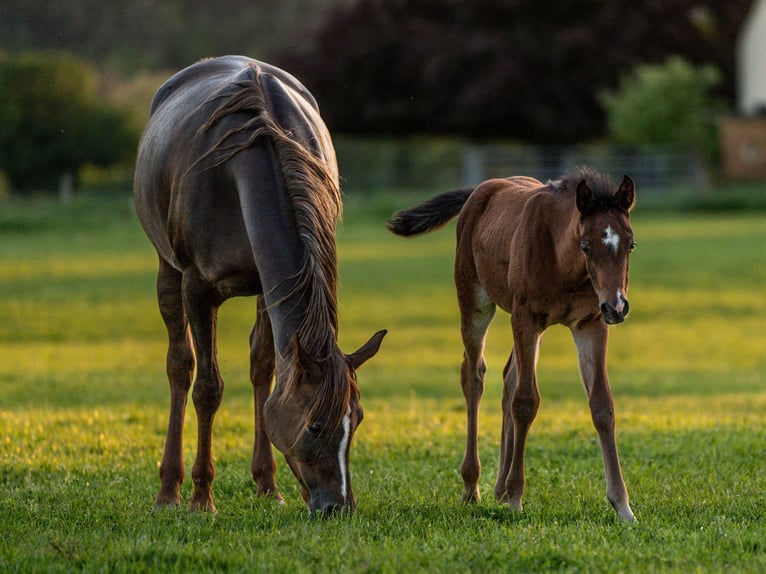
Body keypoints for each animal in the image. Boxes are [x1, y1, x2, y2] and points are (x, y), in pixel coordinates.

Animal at [133, 56, 386, 516]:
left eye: (357, 420)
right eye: (316, 426)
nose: (338, 506)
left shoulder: (275, 286)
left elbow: (266, 369)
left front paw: (270, 485)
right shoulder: (198, 289)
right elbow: (208, 387)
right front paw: (201, 496)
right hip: (167, 269)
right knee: (180, 365)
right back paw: (169, 489)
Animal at [388, 167, 636, 522]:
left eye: (630, 245)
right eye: (586, 246)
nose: (617, 307)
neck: (563, 262)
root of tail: (480, 190)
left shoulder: (590, 323)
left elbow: (602, 404)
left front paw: (622, 505)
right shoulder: (525, 317)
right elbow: (526, 401)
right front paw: (517, 497)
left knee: (508, 377)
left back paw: (499, 488)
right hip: (476, 302)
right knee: (474, 375)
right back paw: (473, 486)